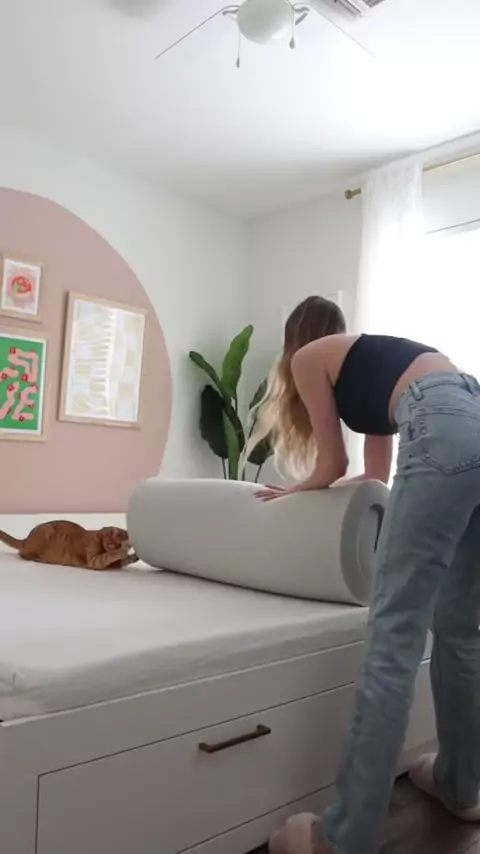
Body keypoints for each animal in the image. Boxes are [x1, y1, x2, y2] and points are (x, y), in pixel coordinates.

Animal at [0, 521, 139, 570]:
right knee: (22, 553)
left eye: (122, 545)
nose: (118, 548)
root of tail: (26, 539)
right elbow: (107, 556)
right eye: (115, 544)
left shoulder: (114, 565)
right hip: (46, 531)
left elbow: (125, 561)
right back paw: (40, 559)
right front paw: (119, 553)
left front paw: (134, 556)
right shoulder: (94, 560)